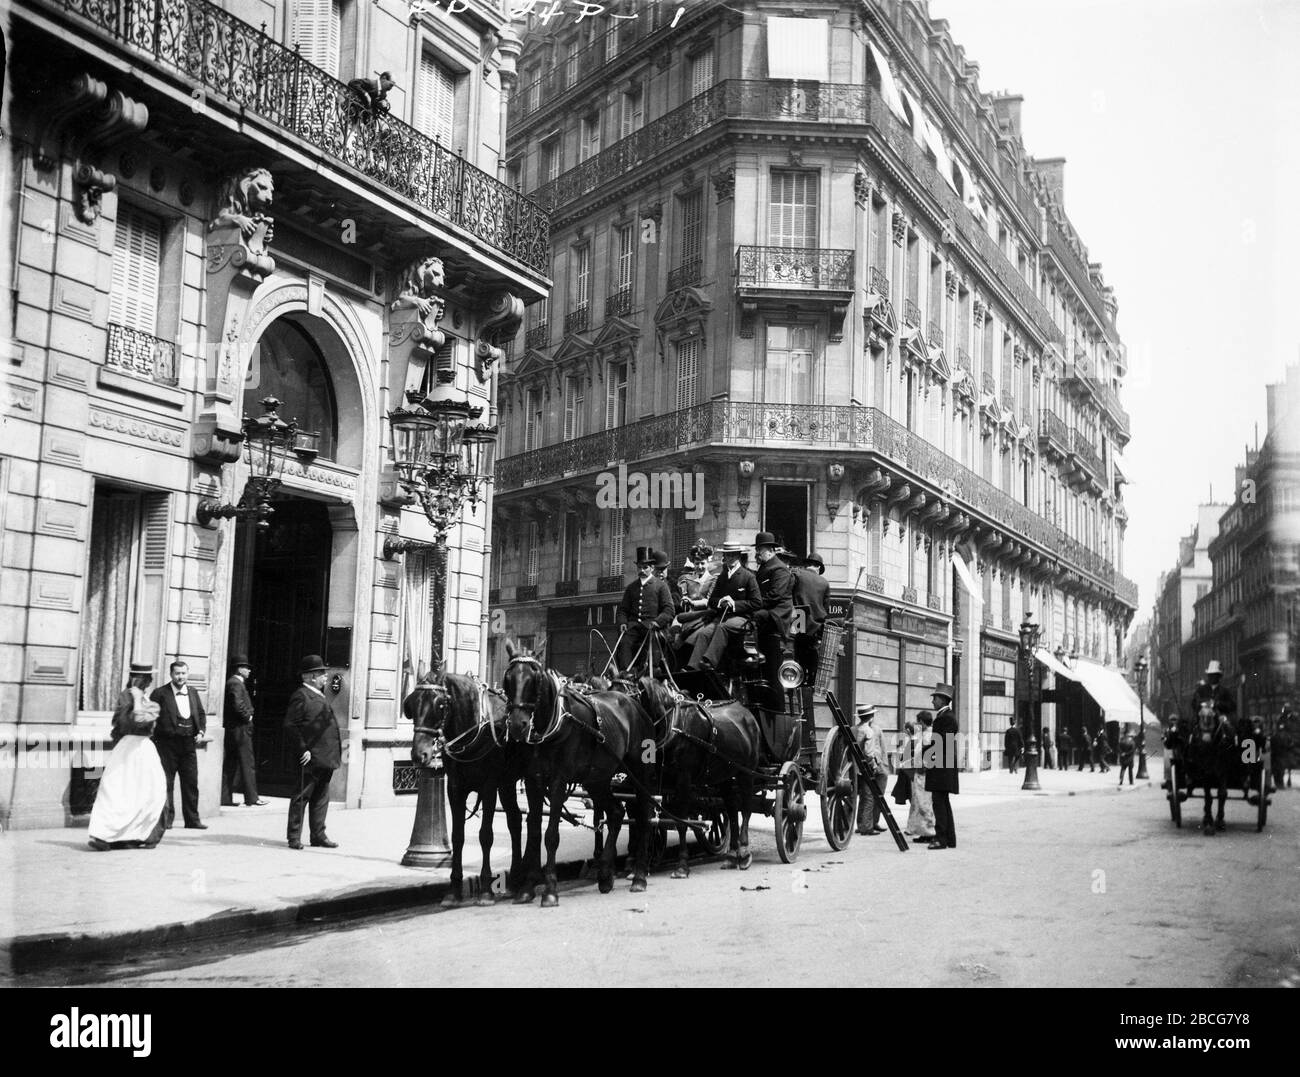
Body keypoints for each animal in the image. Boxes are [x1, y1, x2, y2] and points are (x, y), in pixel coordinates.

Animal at [408, 671, 525, 910]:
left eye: (440, 705)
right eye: (412, 704)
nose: (419, 755)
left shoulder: (489, 787)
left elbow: (485, 835)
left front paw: (486, 889)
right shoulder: (455, 789)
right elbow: (457, 837)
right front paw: (454, 890)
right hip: (507, 783)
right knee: (515, 821)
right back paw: (515, 881)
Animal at [501, 642, 655, 905]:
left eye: (535, 679)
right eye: (508, 679)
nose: (517, 725)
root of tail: (632, 703)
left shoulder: (559, 781)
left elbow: (551, 835)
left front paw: (550, 890)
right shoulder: (533, 781)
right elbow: (534, 830)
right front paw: (527, 888)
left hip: (639, 769)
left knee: (643, 814)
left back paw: (639, 877)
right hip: (597, 779)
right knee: (616, 812)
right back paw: (605, 875)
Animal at [639, 676, 759, 879]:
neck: (674, 724)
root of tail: (745, 711)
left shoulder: (684, 780)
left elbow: (681, 821)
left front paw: (682, 865)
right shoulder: (656, 782)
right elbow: (648, 817)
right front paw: (643, 864)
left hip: (747, 771)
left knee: (746, 808)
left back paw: (744, 852)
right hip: (725, 775)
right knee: (732, 809)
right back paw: (731, 855)